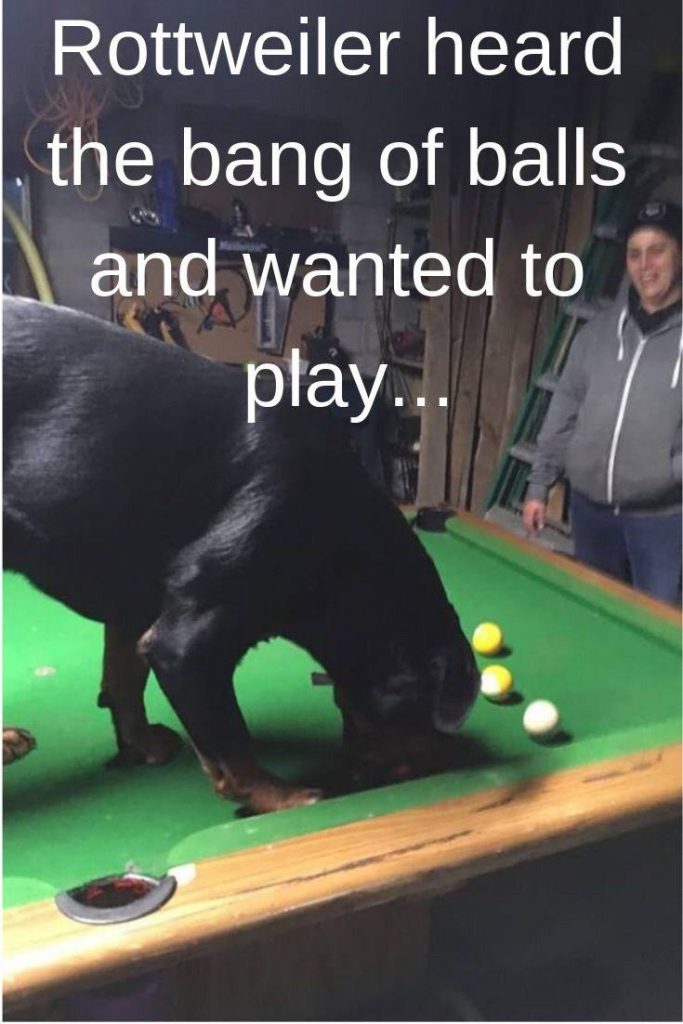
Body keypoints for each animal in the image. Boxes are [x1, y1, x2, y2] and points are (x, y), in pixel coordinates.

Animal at [2, 294, 479, 806]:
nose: (444, 760)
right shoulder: (186, 643)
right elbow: (232, 744)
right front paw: (283, 798)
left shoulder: (135, 603)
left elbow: (124, 680)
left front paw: (140, 743)